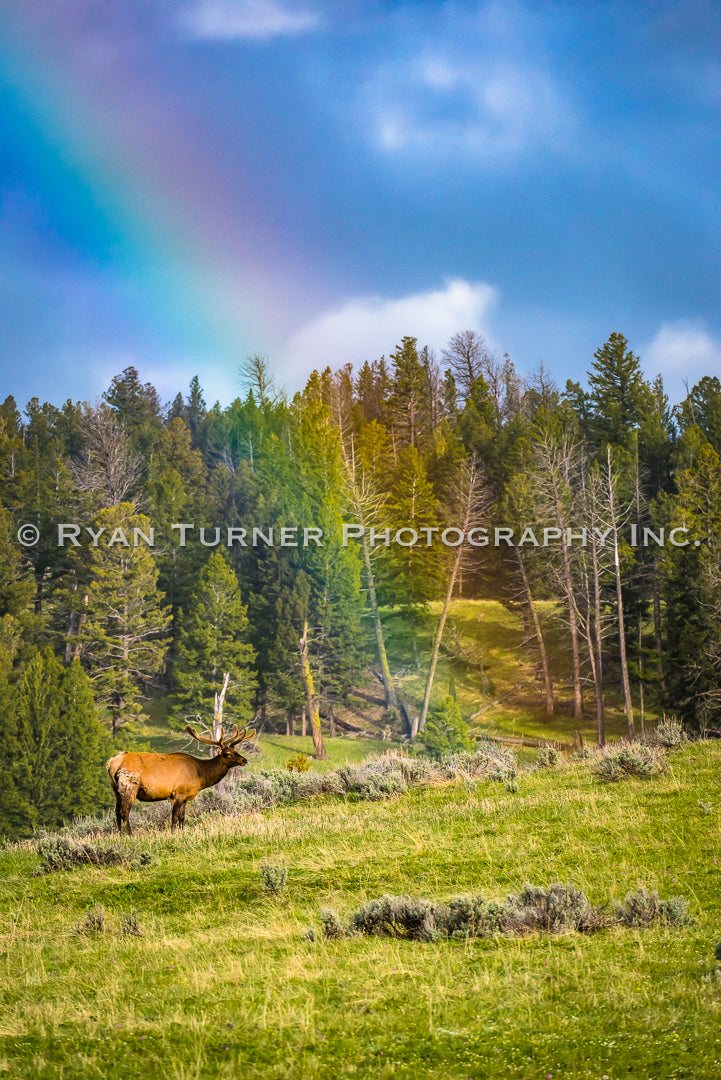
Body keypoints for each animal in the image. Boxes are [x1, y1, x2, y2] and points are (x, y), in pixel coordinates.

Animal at [105, 725, 254, 833]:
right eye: (227, 754)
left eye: (236, 751)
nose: (244, 760)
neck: (200, 776)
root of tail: (112, 763)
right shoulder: (178, 793)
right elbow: (175, 817)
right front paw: (172, 833)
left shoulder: (185, 796)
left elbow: (182, 817)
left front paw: (181, 832)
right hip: (130, 786)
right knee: (124, 812)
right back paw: (130, 835)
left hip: (116, 789)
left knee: (117, 812)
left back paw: (119, 835)